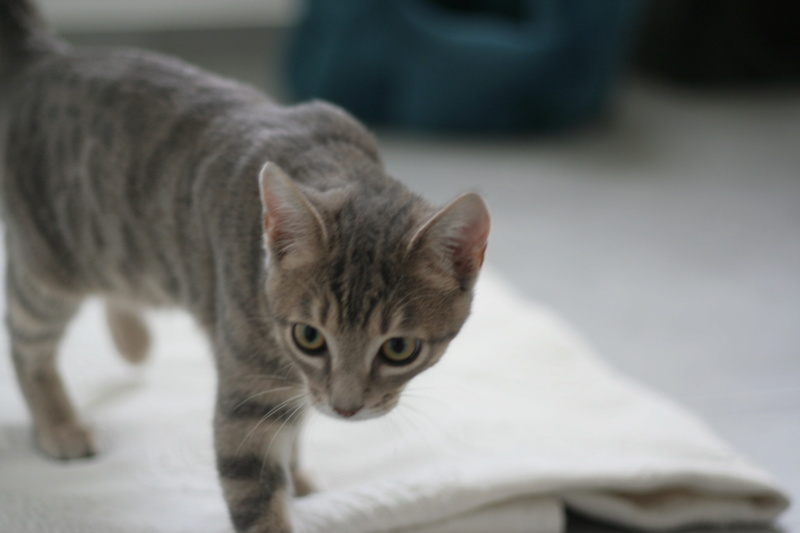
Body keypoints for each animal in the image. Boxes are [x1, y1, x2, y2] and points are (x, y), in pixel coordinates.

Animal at [0, 2, 490, 528]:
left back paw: (133, 342)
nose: (345, 409)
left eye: (399, 348)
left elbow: (297, 418)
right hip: (49, 271)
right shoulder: (250, 392)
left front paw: (297, 471)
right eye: (310, 336)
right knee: (27, 342)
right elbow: (257, 490)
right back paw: (59, 425)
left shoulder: (296, 384)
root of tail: (44, 53)